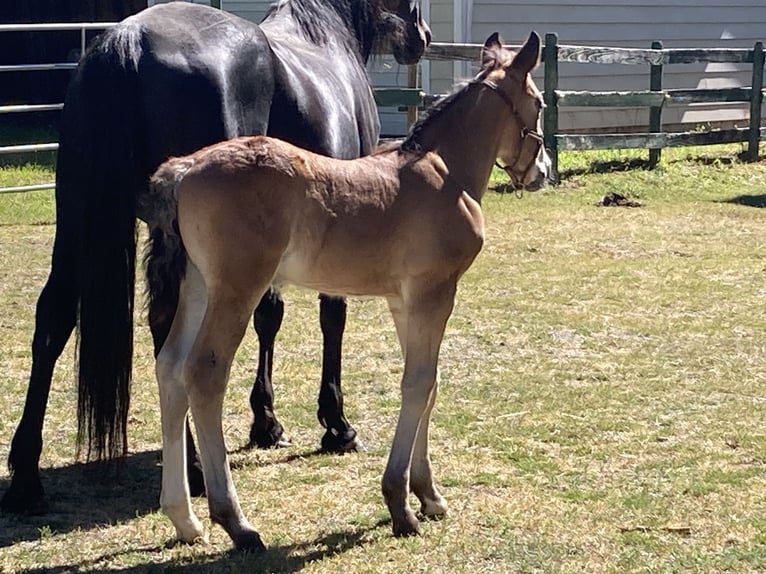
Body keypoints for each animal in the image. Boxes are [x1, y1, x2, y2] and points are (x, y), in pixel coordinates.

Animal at [2, 0, 430, 515]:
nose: (422, 36)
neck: (325, 39)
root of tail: (129, 42)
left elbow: (270, 316)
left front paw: (266, 422)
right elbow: (332, 316)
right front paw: (336, 425)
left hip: (79, 223)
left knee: (55, 319)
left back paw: (27, 478)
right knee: (173, 334)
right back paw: (195, 468)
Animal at [144, 31, 550, 550]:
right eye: (539, 103)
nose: (542, 171)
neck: (446, 171)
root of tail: (184, 169)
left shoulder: (405, 301)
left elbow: (428, 384)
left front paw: (429, 494)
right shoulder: (436, 293)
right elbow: (418, 384)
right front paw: (400, 503)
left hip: (197, 284)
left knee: (170, 368)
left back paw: (184, 518)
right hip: (236, 288)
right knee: (203, 374)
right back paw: (236, 521)